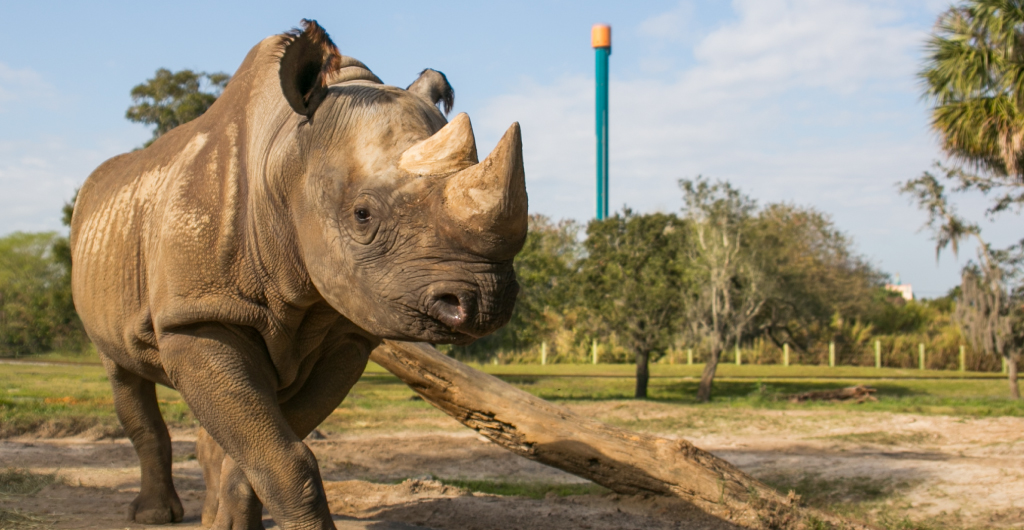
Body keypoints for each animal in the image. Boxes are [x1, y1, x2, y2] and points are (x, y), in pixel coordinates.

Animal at [70, 20, 526, 529]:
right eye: (363, 215)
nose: (485, 302)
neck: (286, 159)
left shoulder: (347, 333)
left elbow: (269, 447)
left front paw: (235, 524)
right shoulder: (197, 317)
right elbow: (286, 457)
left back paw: (207, 517)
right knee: (122, 373)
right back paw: (154, 515)